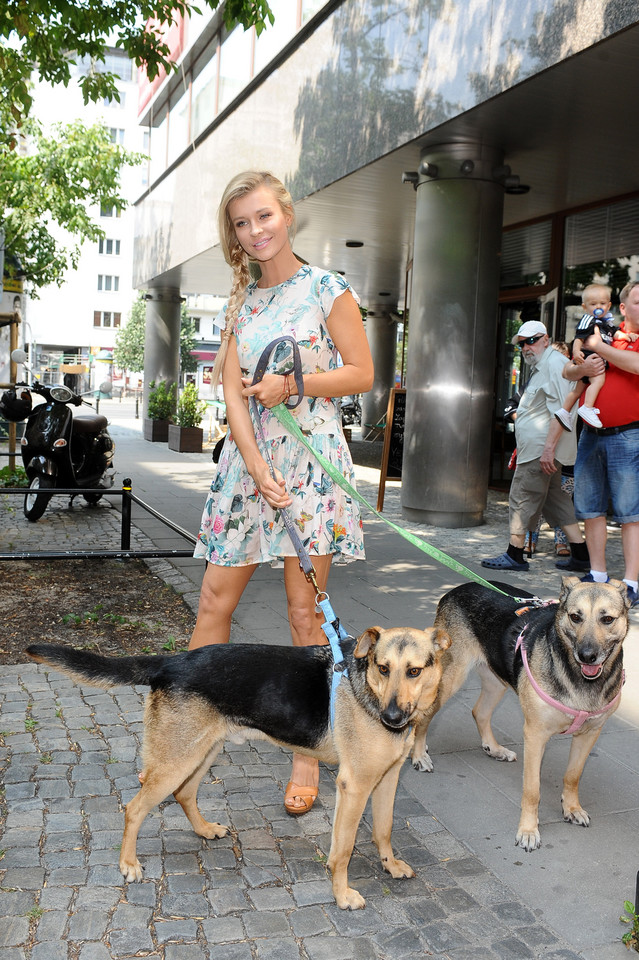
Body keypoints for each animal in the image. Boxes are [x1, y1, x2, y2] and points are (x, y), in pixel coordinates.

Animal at [27, 628, 452, 912]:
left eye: (414, 671)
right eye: (383, 668)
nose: (393, 718)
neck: (368, 688)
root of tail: (173, 659)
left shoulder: (387, 780)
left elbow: (384, 829)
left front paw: (390, 865)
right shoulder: (355, 786)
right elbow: (343, 849)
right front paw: (342, 894)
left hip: (204, 752)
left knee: (184, 794)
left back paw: (204, 830)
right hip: (178, 760)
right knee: (134, 808)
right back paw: (128, 864)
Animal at [410, 572, 632, 852]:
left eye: (607, 619)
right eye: (575, 616)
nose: (587, 655)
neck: (577, 677)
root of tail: (458, 588)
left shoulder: (589, 733)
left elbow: (573, 775)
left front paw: (572, 808)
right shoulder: (535, 736)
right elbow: (532, 790)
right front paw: (528, 831)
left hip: (496, 679)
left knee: (479, 711)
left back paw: (494, 749)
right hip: (450, 678)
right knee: (423, 715)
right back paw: (419, 755)